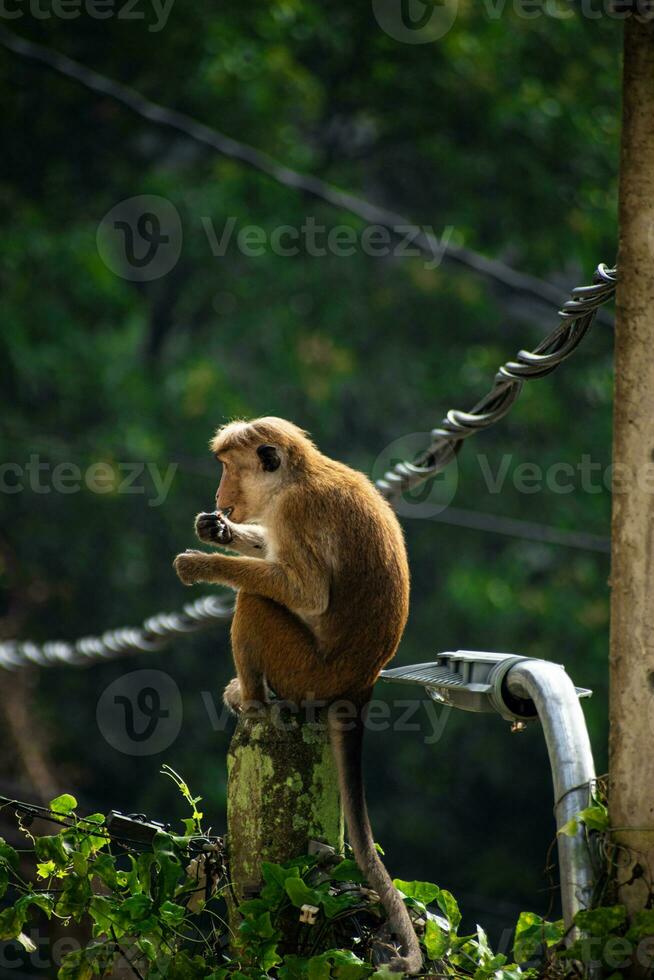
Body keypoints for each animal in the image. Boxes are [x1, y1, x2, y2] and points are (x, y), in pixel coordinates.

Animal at [173, 416, 420, 972]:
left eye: (228, 468)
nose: (219, 497)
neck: (296, 479)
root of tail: (360, 685)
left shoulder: (297, 513)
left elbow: (306, 592)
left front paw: (202, 563)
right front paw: (217, 531)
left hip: (304, 672)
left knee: (255, 602)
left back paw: (253, 701)